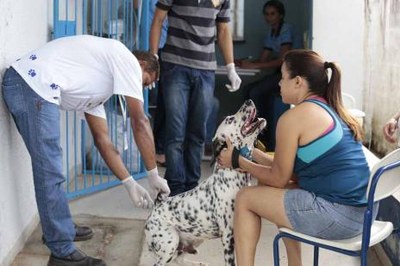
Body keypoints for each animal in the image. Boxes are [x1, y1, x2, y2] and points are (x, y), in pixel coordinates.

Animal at [145, 100, 268, 266]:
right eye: (230, 119)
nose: (248, 101)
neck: (232, 176)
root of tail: (156, 206)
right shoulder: (228, 237)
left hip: (189, 242)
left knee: (179, 260)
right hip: (170, 245)